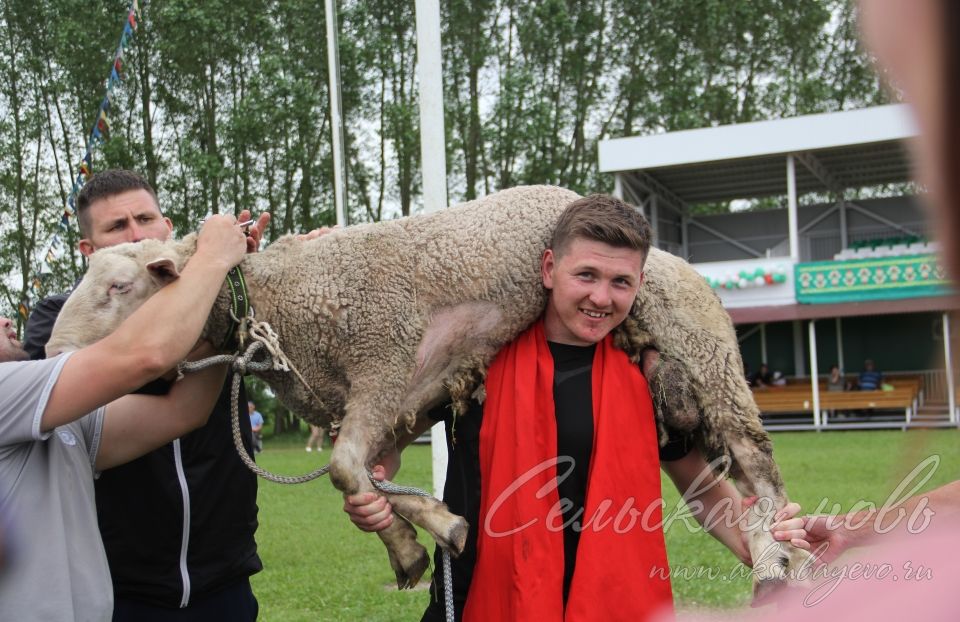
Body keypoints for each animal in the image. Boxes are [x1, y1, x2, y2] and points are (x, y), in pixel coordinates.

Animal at [48, 185, 808, 600]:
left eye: (120, 285)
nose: (53, 354)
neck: (277, 301)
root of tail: (681, 262)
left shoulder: (384, 363)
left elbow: (345, 467)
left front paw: (425, 538)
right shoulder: (399, 397)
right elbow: (361, 474)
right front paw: (425, 536)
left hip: (708, 356)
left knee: (761, 468)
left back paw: (779, 561)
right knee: (738, 476)